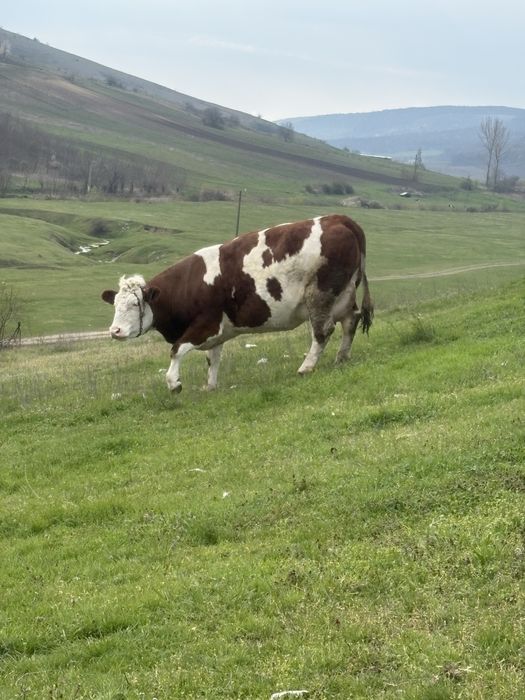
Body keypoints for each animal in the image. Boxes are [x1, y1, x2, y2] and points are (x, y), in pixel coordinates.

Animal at [101, 214, 373, 393]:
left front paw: (174, 383)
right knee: (350, 321)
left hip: (320, 294)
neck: (190, 284)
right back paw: (342, 357)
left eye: (135, 305)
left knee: (322, 331)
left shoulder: (206, 324)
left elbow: (177, 350)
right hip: (344, 294)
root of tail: (338, 219)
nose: (115, 331)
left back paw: (306, 367)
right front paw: (210, 385)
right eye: (115, 305)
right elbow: (212, 358)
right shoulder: (218, 331)